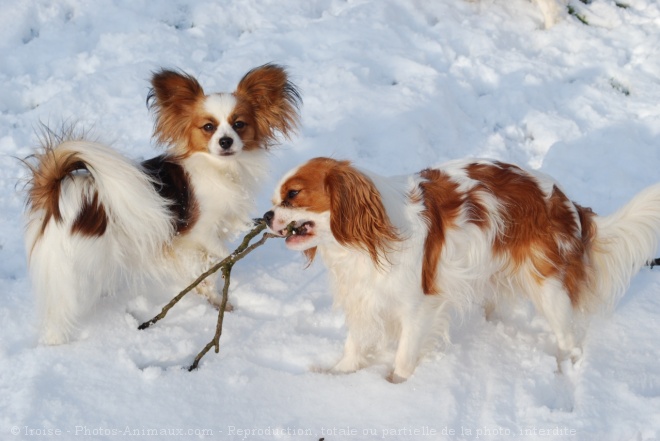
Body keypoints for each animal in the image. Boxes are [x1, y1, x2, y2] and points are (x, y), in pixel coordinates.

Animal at [24, 63, 302, 344]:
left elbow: (205, 270)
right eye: (208, 127)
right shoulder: (198, 232)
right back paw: (57, 340)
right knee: (61, 306)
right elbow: (221, 256)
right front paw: (225, 270)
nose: (226, 141)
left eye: (239, 124)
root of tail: (57, 195)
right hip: (75, 266)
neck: (219, 167)